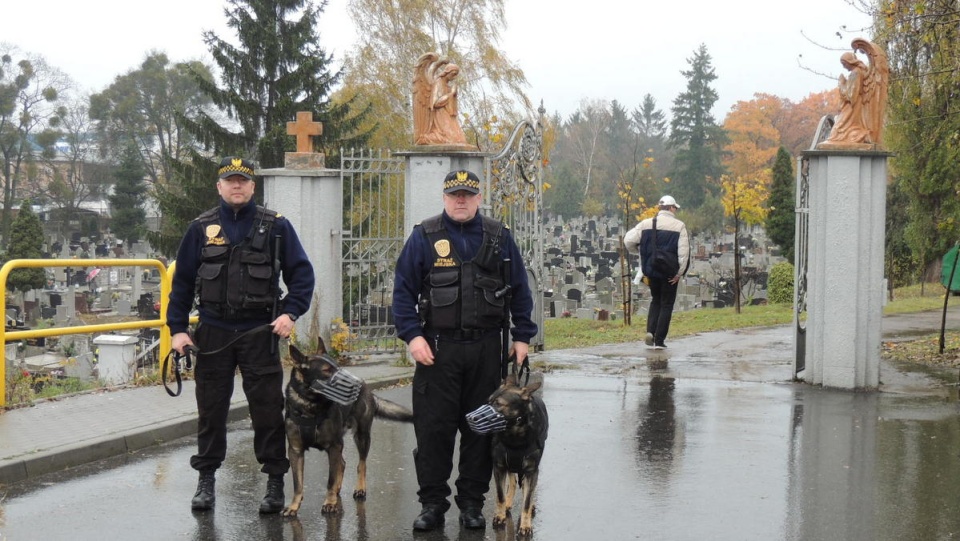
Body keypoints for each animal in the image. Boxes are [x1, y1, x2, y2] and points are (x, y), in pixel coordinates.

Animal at [280, 340, 410, 516]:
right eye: (326, 371)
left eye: (337, 366)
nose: (354, 384)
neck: (310, 405)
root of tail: (366, 387)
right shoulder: (296, 451)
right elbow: (298, 483)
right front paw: (294, 506)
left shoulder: (334, 446)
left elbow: (330, 480)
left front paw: (330, 502)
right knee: (341, 464)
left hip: (361, 436)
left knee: (361, 464)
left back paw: (359, 488)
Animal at [488, 372, 548, 536]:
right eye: (488, 401)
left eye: (499, 404)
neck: (515, 435)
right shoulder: (499, 467)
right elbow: (500, 496)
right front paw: (500, 515)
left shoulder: (531, 471)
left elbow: (526, 501)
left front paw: (526, 525)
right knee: (513, 482)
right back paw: (508, 503)